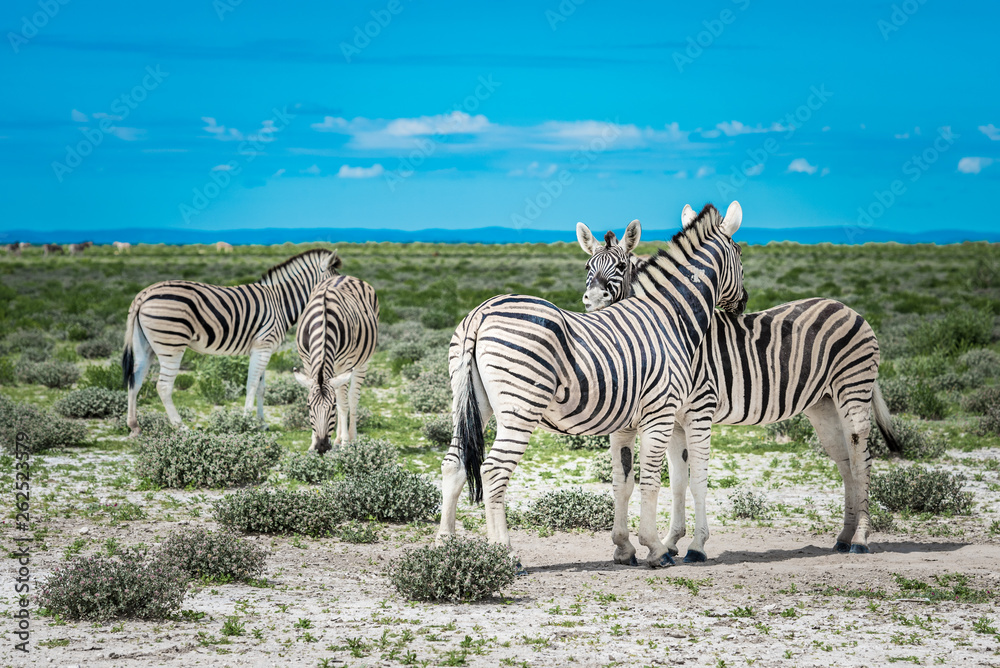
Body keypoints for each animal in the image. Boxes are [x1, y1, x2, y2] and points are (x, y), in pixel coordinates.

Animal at [122, 248, 341, 435]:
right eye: (334, 282)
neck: (280, 302)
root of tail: (144, 294)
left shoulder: (264, 349)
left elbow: (261, 388)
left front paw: (262, 423)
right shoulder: (262, 347)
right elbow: (251, 384)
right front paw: (246, 422)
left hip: (145, 347)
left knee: (135, 380)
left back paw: (134, 426)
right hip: (172, 344)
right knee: (163, 386)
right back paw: (181, 426)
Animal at [293, 274, 379, 454]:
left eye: (331, 407)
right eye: (308, 406)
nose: (322, 447)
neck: (323, 322)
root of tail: (345, 276)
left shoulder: (345, 365)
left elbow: (342, 404)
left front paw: (346, 443)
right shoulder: (307, 363)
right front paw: (312, 444)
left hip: (362, 362)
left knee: (352, 398)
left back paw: (350, 438)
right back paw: (338, 438)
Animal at [437, 203, 747, 568]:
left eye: (622, 266)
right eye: (741, 254)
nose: (743, 304)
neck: (669, 317)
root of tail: (480, 313)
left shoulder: (626, 422)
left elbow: (623, 482)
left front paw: (626, 549)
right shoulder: (660, 412)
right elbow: (652, 481)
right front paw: (656, 549)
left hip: (470, 401)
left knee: (453, 464)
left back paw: (444, 547)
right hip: (520, 409)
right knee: (494, 471)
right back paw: (505, 554)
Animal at [576, 207, 900, 561]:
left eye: (621, 267)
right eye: (587, 267)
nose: (593, 301)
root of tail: (846, 307)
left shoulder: (698, 410)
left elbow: (696, 479)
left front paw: (696, 546)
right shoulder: (669, 420)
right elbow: (666, 481)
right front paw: (669, 542)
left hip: (853, 390)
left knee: (861, 460)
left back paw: (861, 538)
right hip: (823, 404)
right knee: (845, 463)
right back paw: (843, 537)